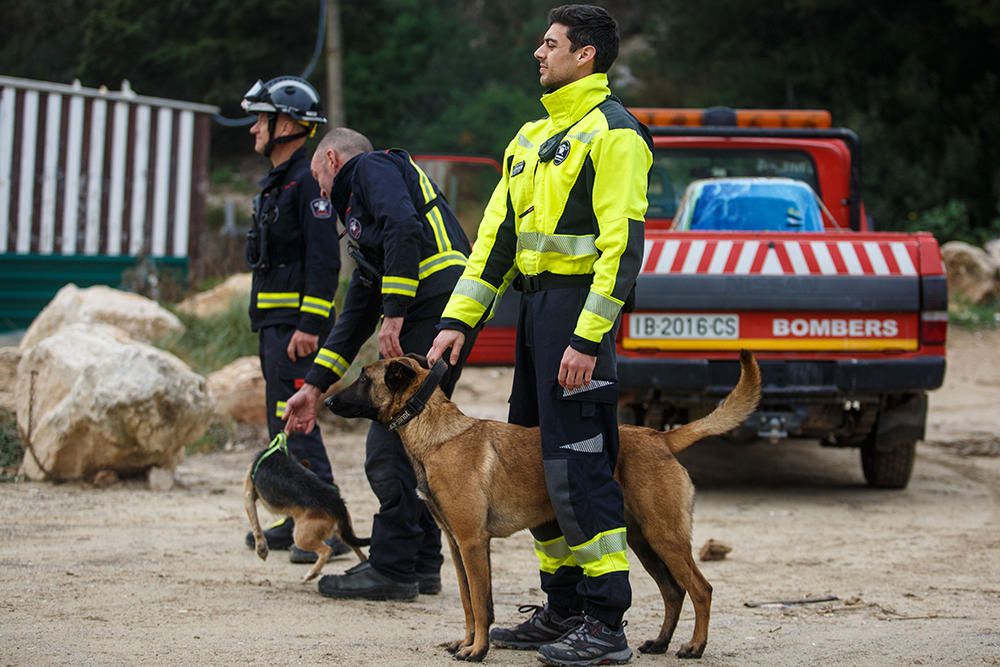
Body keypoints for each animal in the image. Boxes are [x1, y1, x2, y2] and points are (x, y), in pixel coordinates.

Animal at [324, 350, 760, 664]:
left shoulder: (472, 543)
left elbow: (481, 604)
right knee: (673, 591)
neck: (434, 431)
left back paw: (694, 647)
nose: (326, 399)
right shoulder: (457, 545)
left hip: (664, 536)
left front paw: (477, 650)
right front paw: (465, 643)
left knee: (700, 589)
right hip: (642, 540)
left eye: (364, 378)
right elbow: (467, 603)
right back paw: (661, 642)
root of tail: (660, 437)